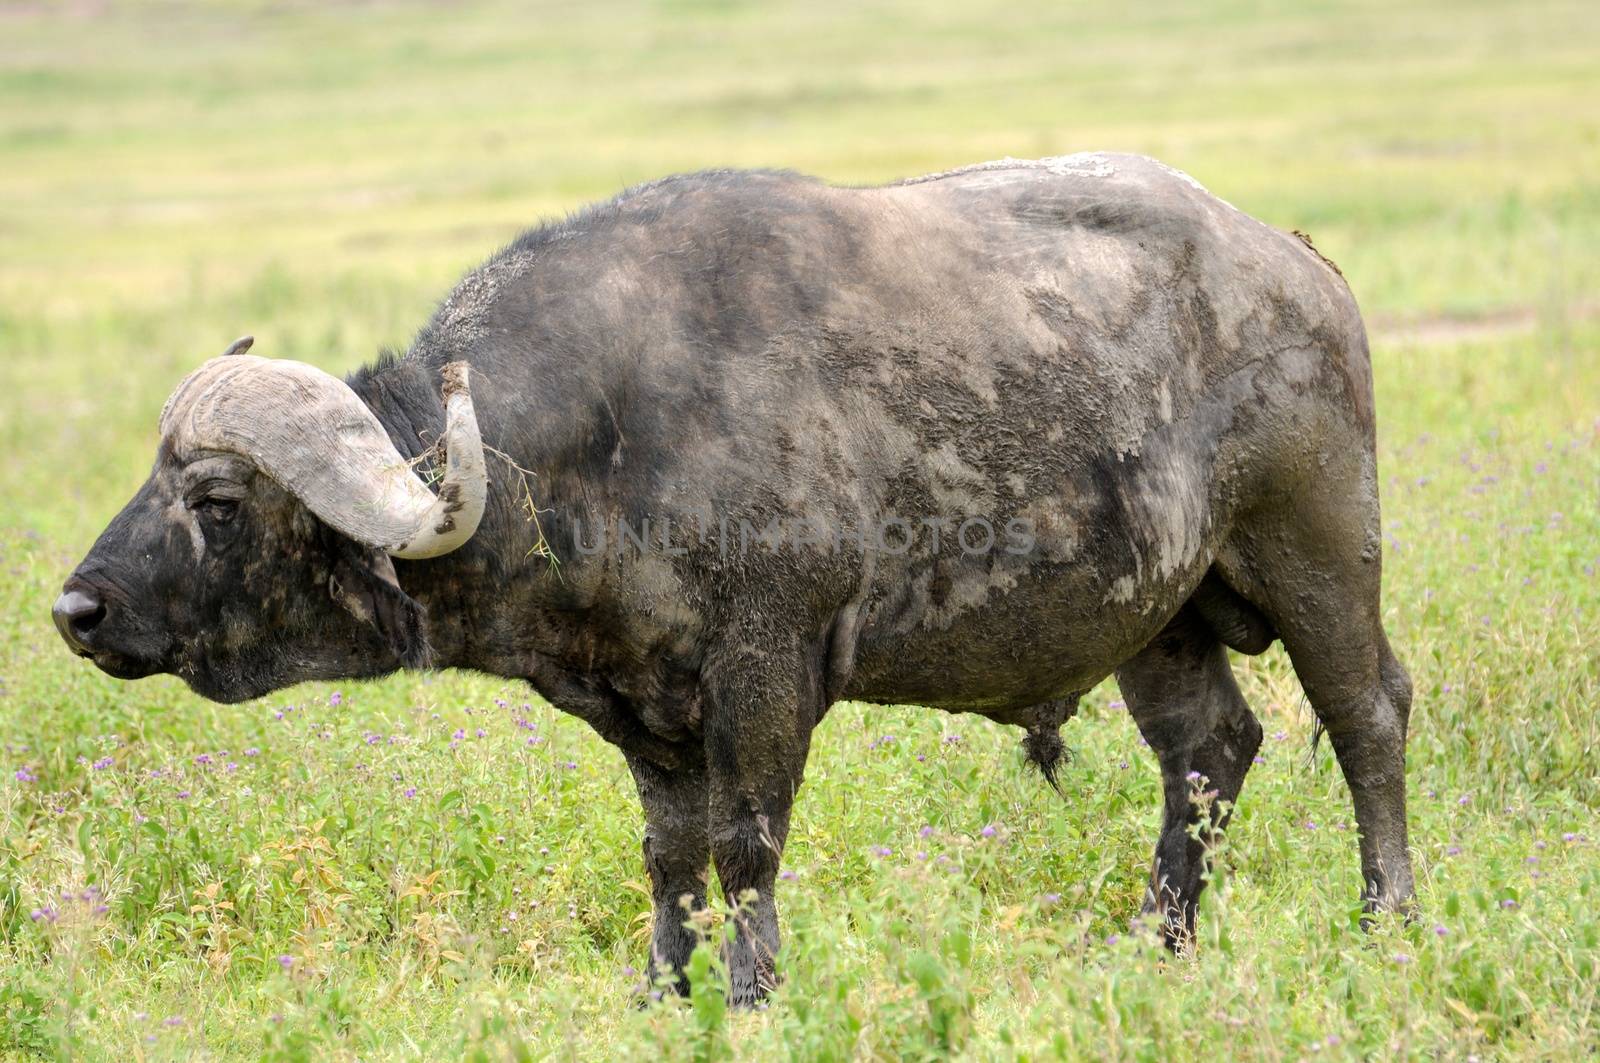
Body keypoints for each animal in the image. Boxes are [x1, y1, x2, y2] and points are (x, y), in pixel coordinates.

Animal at [56, 153, 1420, 998]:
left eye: (216, 501)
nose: (77, 608)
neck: (600, 435)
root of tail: (1298, 266)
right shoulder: (641, 712)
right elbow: (672, 857)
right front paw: (666, 989)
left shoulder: (763, 673)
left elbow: (748, 845)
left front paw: (757, 991)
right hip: (1157, 617)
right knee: (1208, 753)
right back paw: (1158, 940)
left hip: (1319, 551)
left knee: (1366, 717)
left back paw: (1388, 920)